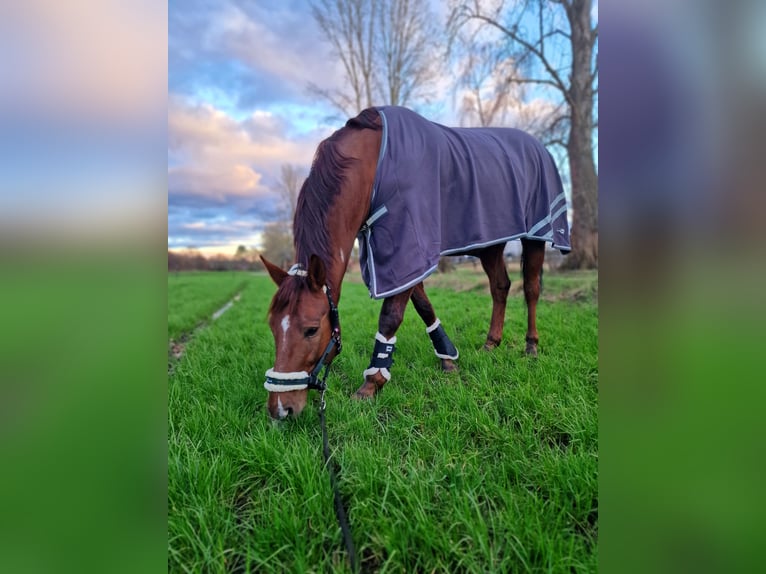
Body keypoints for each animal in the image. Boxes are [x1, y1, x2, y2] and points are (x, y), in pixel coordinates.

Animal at [260, 106, 568, 420]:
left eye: (311, 329)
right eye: (272, 326)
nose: (280, 409)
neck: (373, 166)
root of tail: (539, 147)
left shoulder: (406, 245)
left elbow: (391, 316)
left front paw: (371, 384)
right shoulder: (402, 258)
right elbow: (423, 305)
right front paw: (448, 358)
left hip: (535, 237)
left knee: (530, 289)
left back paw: (531, 346)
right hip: (490, 244)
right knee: (500, 286)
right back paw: (491, 344)